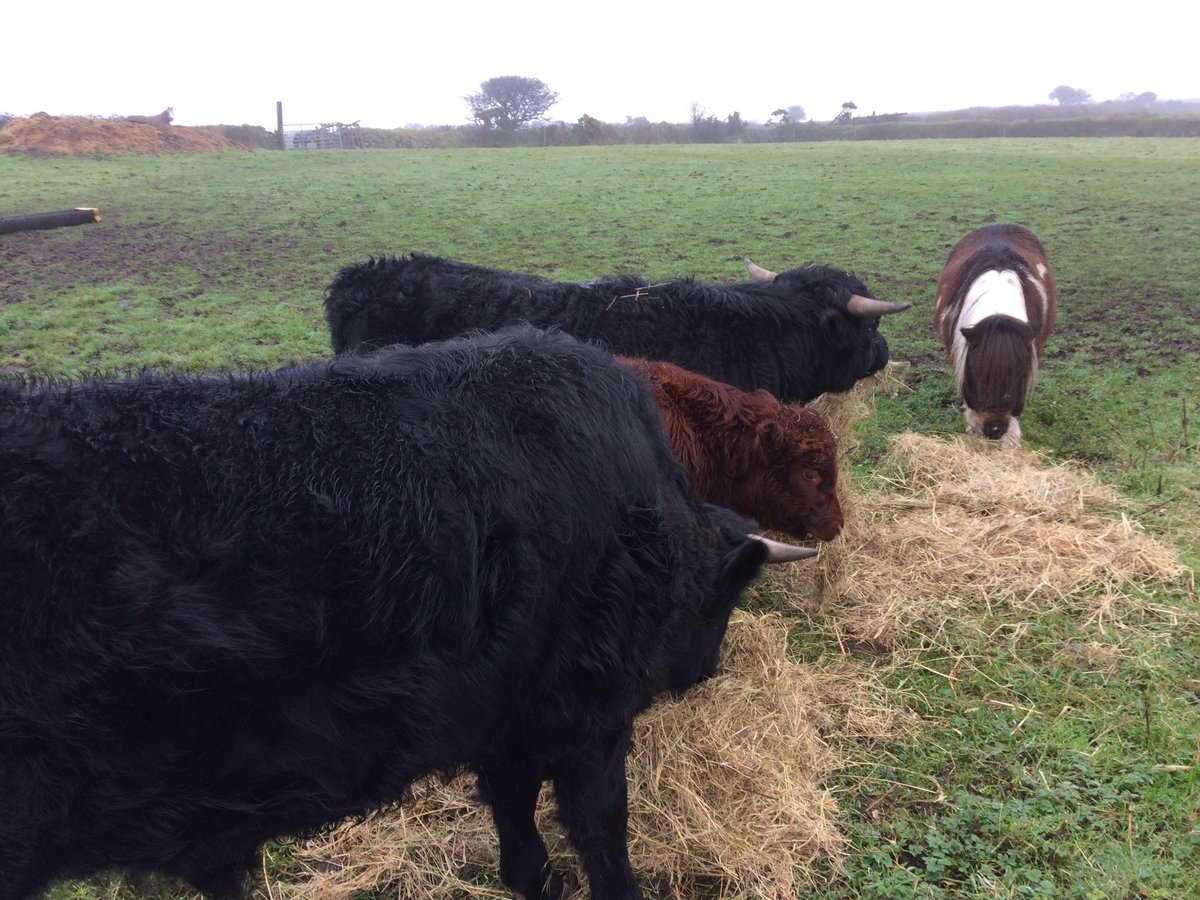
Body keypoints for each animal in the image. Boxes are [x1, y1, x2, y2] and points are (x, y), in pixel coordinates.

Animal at [0, 326, 814, 900]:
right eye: (725, 600)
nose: (705, 670)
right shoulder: (590, 718)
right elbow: (601, 835)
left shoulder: (504, 717)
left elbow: (517, 828)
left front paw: (536, 880)